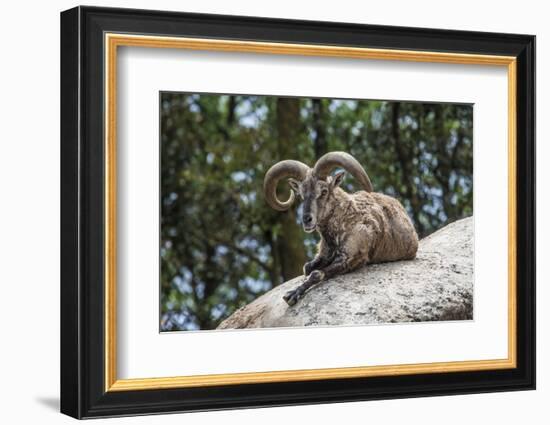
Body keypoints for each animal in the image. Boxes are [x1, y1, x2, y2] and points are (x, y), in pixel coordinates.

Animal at [264, 152, 418, 304]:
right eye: (301, 195)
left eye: (324, 191)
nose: (307, 220)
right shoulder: (323, 255)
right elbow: (307, 268)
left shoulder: (351, 258)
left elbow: (316, 274)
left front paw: (292, 294)